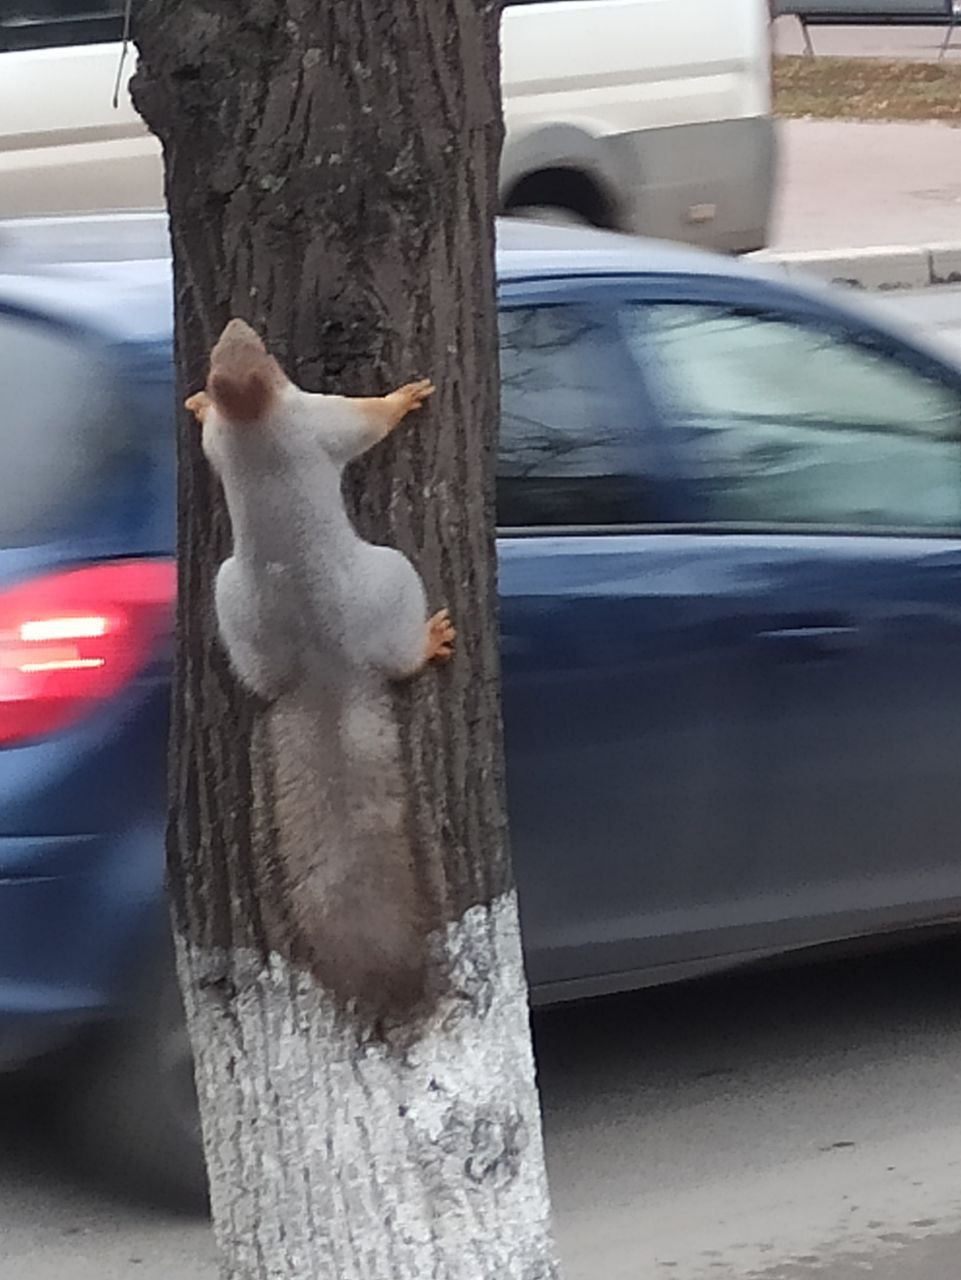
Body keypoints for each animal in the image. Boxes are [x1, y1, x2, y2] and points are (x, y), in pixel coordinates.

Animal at [190, 317, 458, 1018]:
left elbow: (205, 438)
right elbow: (364, 424)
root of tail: (323, 668)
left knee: (257, 677)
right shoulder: (317, 417)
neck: (251, 414)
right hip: (394, 576)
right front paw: (402, 399)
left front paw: (195, 404)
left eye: (230, 348)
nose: (236, 322)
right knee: (401, 655)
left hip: (232, 605)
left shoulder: (226, 438)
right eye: (256, 349)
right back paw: (429, 641)